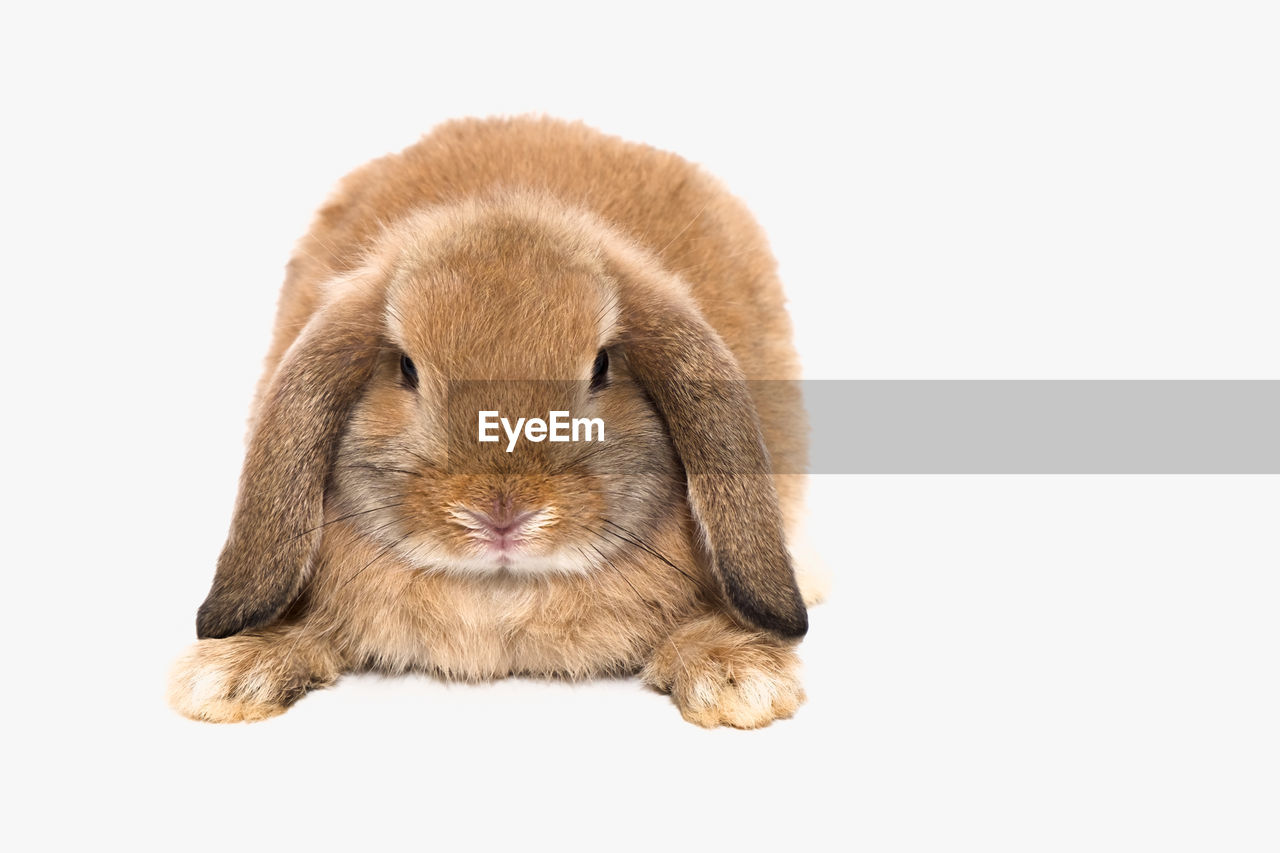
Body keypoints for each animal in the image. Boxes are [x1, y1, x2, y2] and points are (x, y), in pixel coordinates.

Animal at [170, 114, 824, 722]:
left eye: (602, 366)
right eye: (406, 367)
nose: (502, 512)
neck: (500, 594)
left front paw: (737, 677)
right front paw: (232, 675)